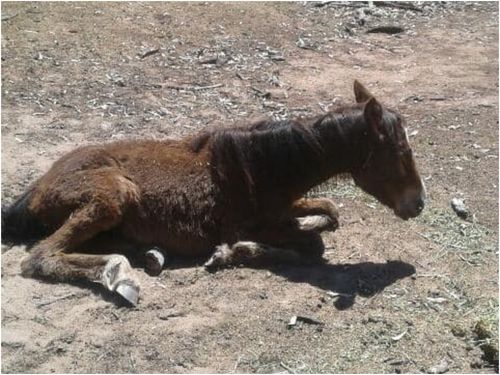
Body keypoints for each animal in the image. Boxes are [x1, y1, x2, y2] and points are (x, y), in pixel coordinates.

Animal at [1, 80, 428, 306]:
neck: (262, 166)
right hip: (113, 197)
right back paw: (119, 273)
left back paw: (150, 254)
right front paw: (233, 252)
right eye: (400, 152)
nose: (419, 204)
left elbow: (331, 210)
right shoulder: (256, 223)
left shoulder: (290, 204)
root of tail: (37, 188)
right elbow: (310, 246)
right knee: (41, 257)